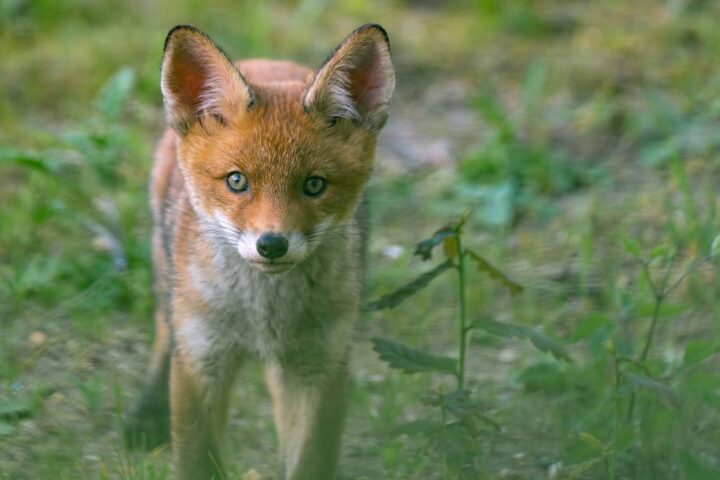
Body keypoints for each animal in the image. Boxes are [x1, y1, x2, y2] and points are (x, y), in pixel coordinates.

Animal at [123, 23, 394, 480]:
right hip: (171, 289)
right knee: (164, 332)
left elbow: (309, 461)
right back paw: (147, 409)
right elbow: (197, 461)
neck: (265, 318)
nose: (271, 244)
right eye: (237, 181)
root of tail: (265, 61)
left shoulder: (321, 366)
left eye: (314, 185)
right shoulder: (203, 362)